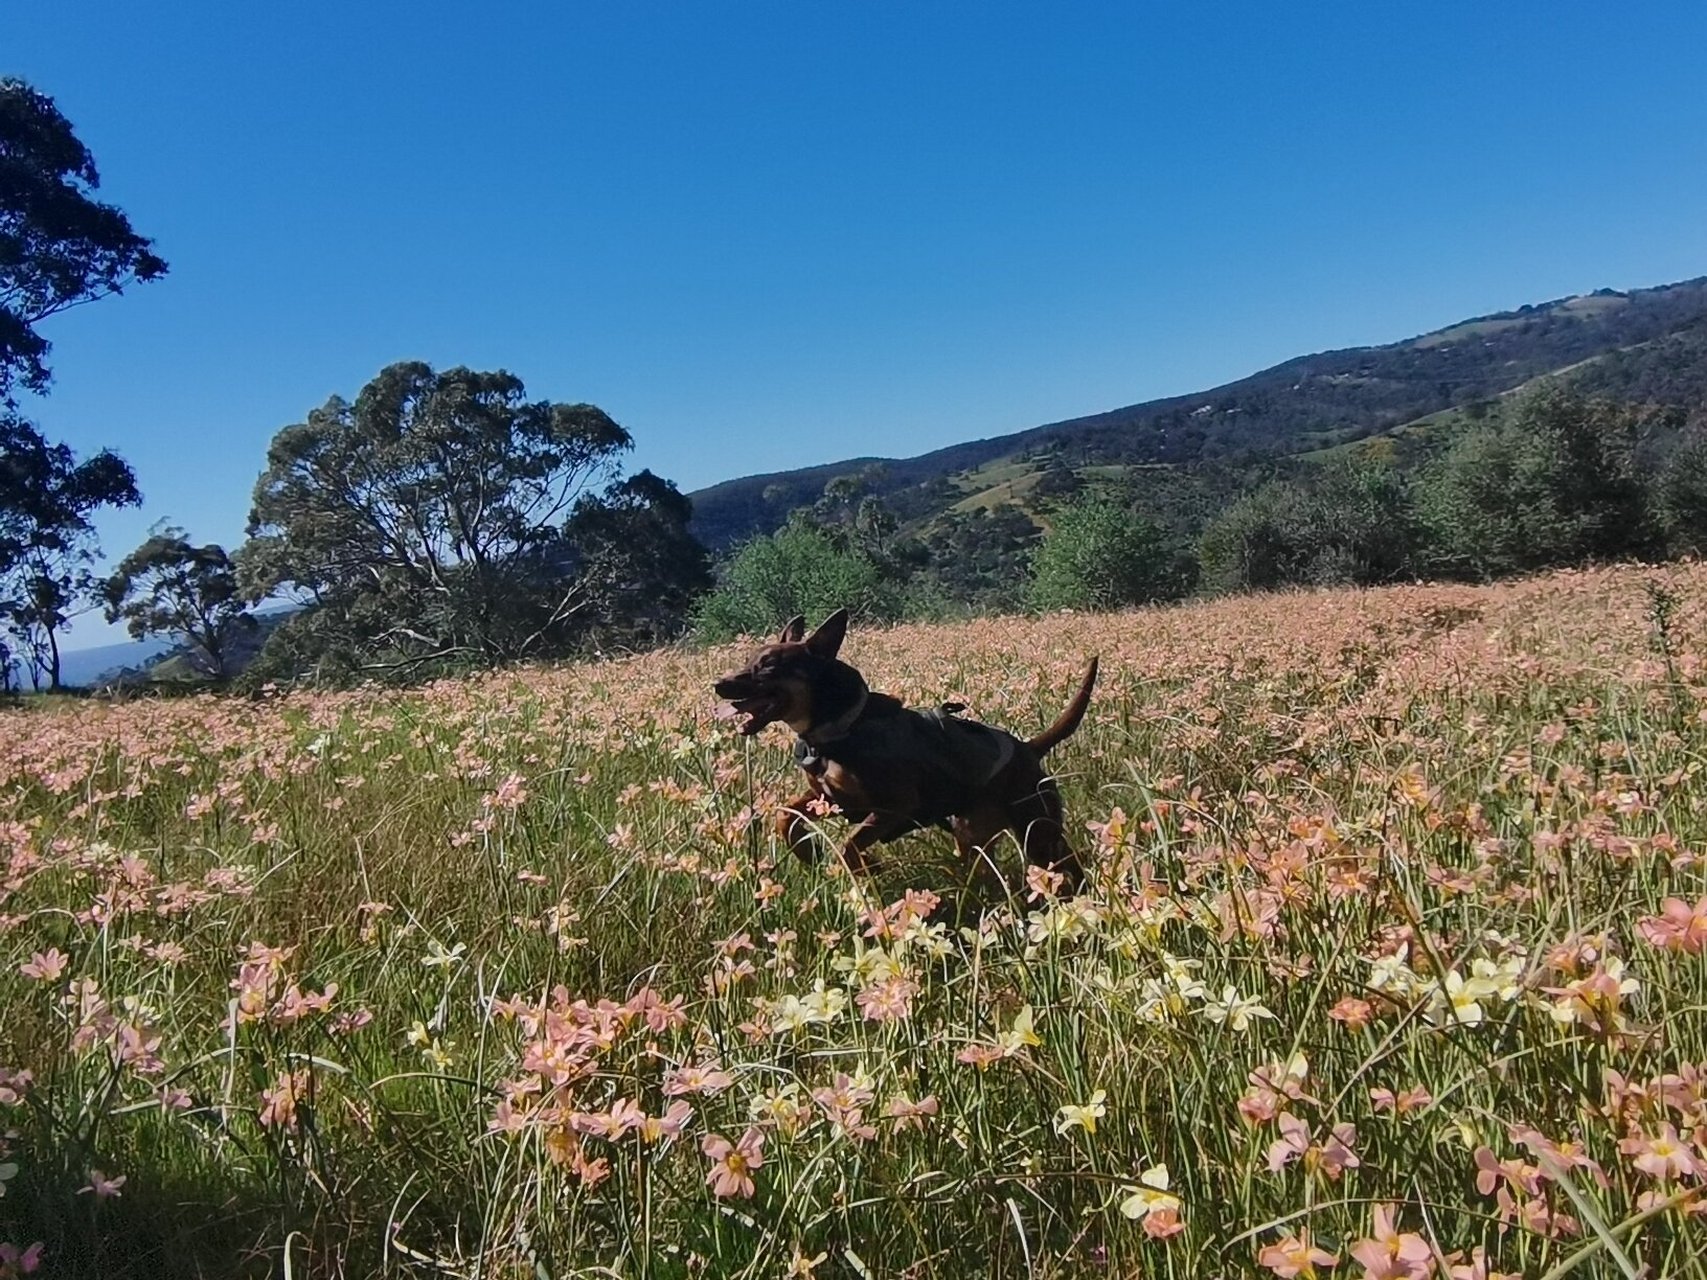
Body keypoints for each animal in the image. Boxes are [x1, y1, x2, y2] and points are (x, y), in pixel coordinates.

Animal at [713, 610, 1099, 894]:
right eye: (748, 659)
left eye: (768, 665)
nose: (718, 684)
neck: (840, 727)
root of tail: (1030, 749)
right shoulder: (828, 798)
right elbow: (785, 815)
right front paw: (810, 853)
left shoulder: (894, 806)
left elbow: (850, 845)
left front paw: (868, 866)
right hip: (974, 835)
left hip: (1037, 831)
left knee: (1066, 862)